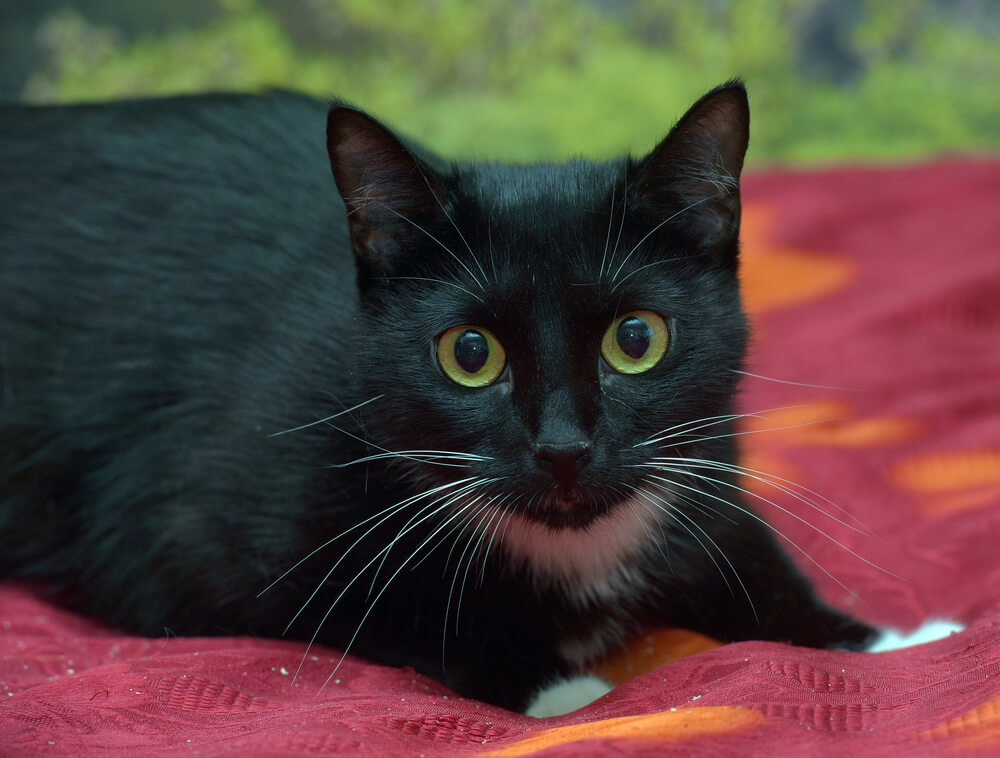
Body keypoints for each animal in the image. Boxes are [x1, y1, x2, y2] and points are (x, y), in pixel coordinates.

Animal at [0, 83, 876, 712]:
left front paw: (865, 642)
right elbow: (400, 609)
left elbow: (741, 547)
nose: (563, 447)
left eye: (636, 339)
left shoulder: (703, 458)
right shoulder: (169, 538)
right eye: (470, 354)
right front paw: (563, 691)